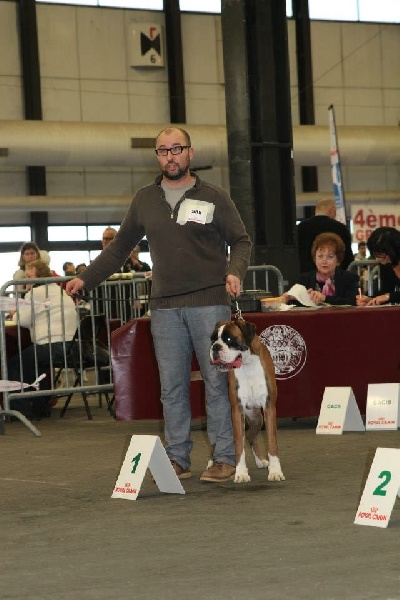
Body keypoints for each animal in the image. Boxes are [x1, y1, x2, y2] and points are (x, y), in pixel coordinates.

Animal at [209, 318, 284, 482]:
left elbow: (272, 442)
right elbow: (239, 446)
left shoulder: (269, 408)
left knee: (251, 437)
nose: (215, 347)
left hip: (257, 419)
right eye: (212, 339)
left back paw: (261, 461)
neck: (248, 364)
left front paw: (275, 471)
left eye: (229, 339)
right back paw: (211, 462)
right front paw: (241, 473)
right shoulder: (237, 411)